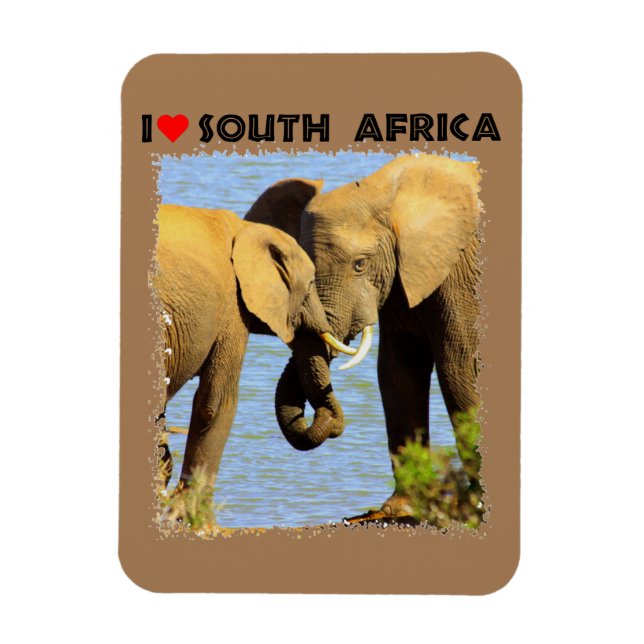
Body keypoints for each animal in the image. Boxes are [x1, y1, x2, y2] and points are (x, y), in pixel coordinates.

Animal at [246, 154, 482, 519]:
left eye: (359, 264)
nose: (329, 422)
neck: (386, 192)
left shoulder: (458, 274)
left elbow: (460, 368)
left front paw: (477, 505)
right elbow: (398, 372)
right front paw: (397, 508)